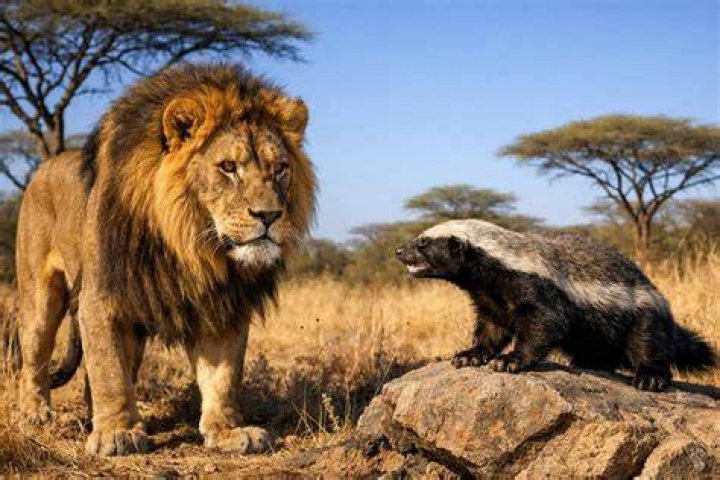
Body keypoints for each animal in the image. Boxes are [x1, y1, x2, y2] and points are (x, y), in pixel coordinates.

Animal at [14, 63, 316, 456]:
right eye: (228, 167)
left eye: (280, 168)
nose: (269, 216)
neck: (190, 245)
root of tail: (45, 165)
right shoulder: (102, 297)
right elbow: (109, 370)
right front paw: (116, 433)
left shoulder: (221, 303)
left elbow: (223, 376)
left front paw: (227, 431)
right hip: (40, 295)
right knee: (34, 354)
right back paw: (35, 412)